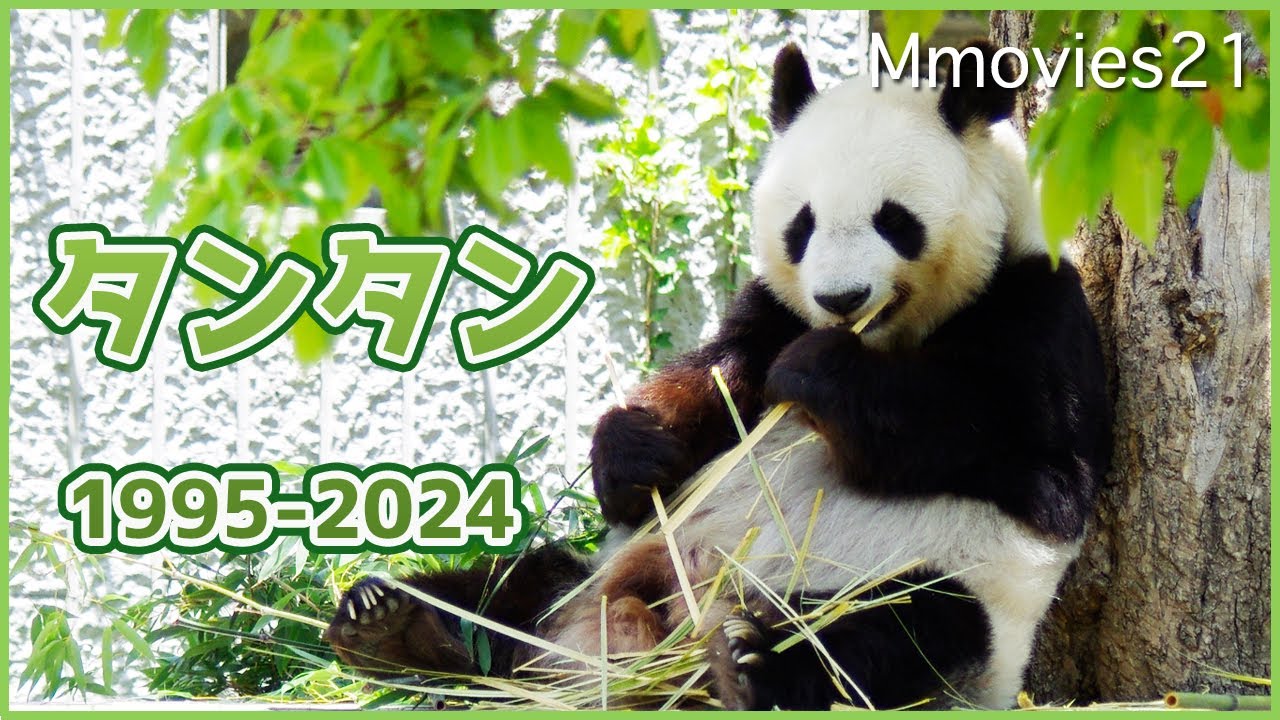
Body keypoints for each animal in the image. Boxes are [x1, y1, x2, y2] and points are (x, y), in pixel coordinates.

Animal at [325, 40, 1111, 710]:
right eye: (802, 225)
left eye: (895, 220)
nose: (841, 299)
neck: (897, 331)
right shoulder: (771, 311)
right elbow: (718, 382)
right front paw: (633, 450)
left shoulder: (1038, 311)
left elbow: (1042, 471)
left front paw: (822, 376)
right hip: (596, 573)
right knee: (513, 590)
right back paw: (391, 625)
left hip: (924, 587)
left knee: (904, 628)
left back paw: (750, 666)